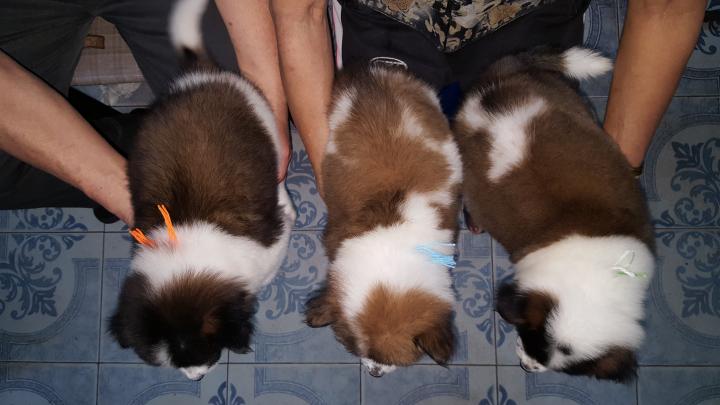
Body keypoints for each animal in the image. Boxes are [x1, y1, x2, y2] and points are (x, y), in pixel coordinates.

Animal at [108, 0, 295, 381]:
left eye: (203, 348)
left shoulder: (269, 247)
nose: (197, 377)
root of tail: (198, 75)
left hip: (266, 121)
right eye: (173, 363)